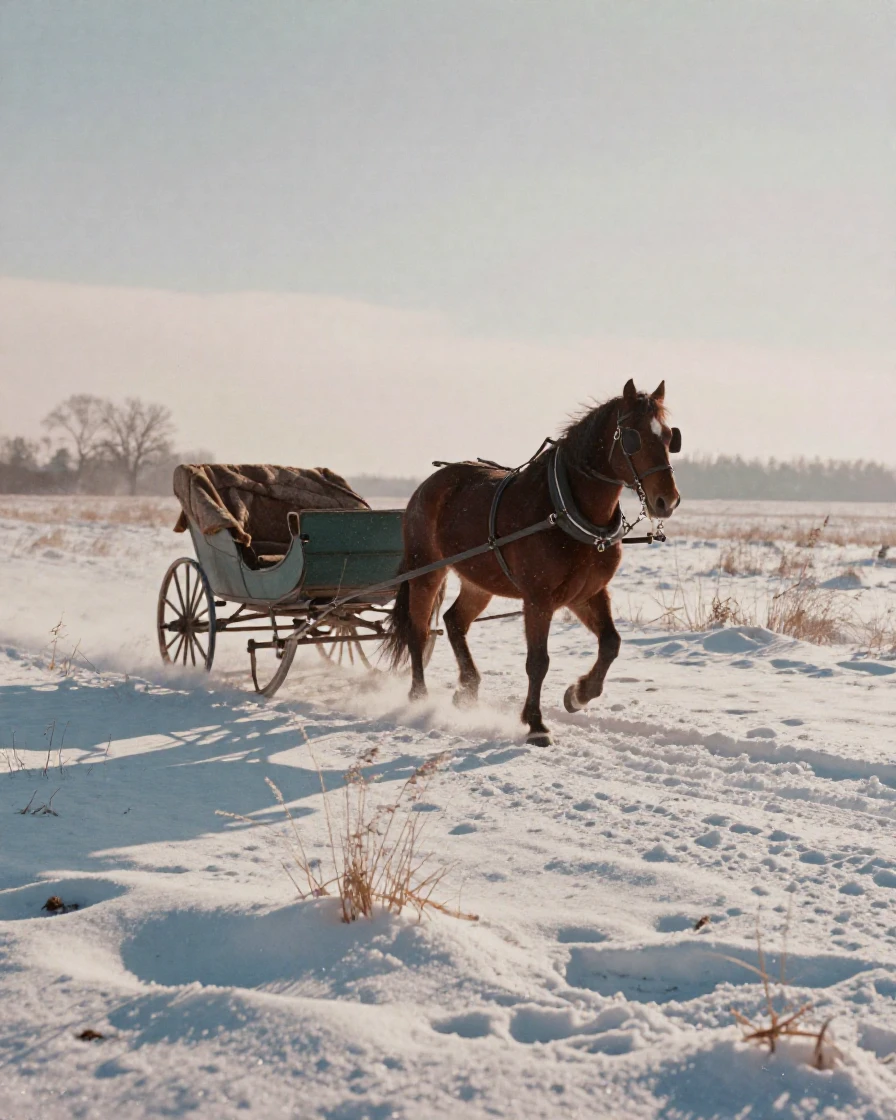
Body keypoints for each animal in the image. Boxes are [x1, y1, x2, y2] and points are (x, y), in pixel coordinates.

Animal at [383, 379, 681, 745]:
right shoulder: (538, 600)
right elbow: (538, 661)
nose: (667, 500)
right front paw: (536, 723)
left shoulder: (587, 594)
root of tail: (427, 485)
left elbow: (611, 644)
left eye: (669, 437)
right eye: (632, 437)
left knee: (454, 621)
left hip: (479, 581)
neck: (566, 509)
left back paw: (467, 688)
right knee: (419, 630)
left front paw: (578, 694)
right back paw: (419, 695)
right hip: (427, 569)